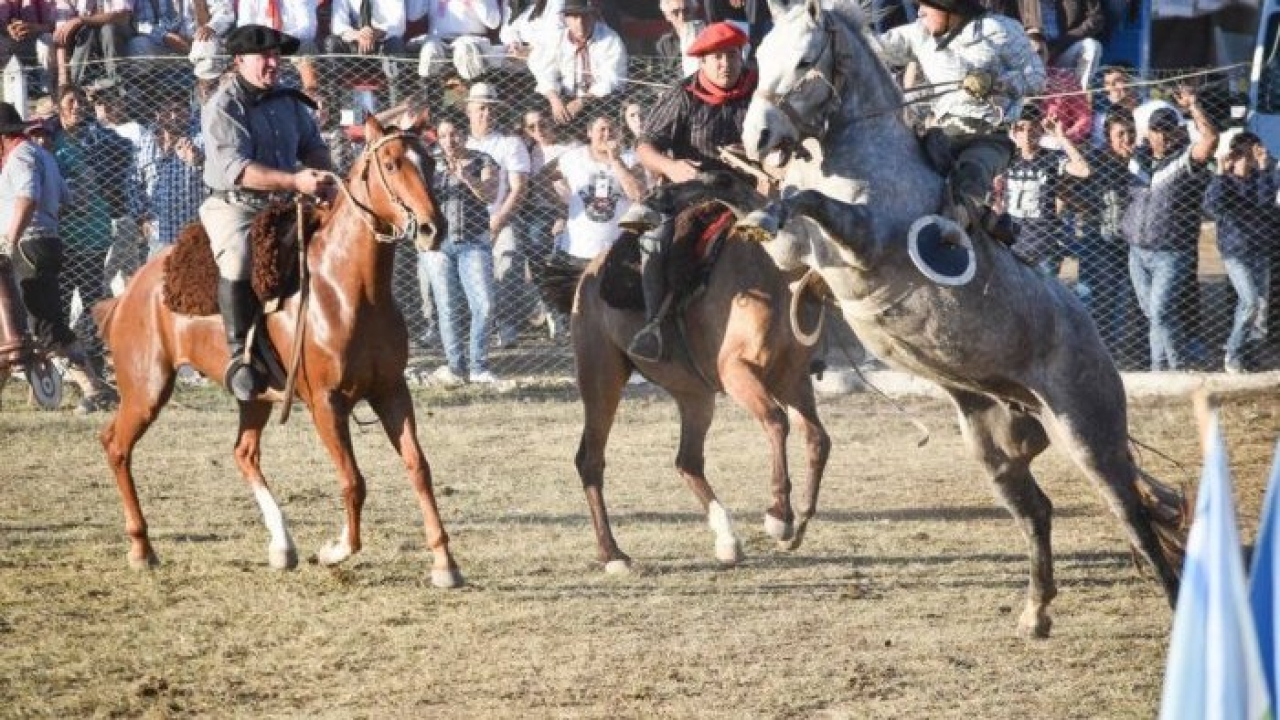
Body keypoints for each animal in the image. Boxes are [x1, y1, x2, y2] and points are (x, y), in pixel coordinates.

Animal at [94, 114, 465, 586]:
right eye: (391, 163)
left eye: (430, 161)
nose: (434, 228)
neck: (348, 289)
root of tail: (131, 291)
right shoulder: (326, 403)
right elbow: (353, 481)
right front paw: (336, 549)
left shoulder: (391, 392)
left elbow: (419, 468)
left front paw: (444, 562)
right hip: (147, 390)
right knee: (116, 445)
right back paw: (141, 546)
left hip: (252, 398)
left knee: (244, 453)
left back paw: (282, 545)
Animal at [542, 185, 834, 571]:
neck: (773, 271)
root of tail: (587, 275)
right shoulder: (736, 371)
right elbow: (776, 421)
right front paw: (779, 516)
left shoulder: (792, 378)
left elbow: (817, 439)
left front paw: (799, 522)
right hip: (601, 378)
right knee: (590, 459)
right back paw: (613, 554)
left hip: (695, 395)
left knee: (687, 461)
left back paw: (727, 540)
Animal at [732, 0, 1187, 635]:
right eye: (760, 55)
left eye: (803, 60)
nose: (756, 136)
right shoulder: (795, 257)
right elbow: (775, 218)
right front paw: (746, 207)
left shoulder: (865, 239)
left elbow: (813, 202)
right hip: (992, 442)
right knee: (1038, 511)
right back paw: (1035, 611)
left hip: (1089, 432)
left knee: (1133, 516)